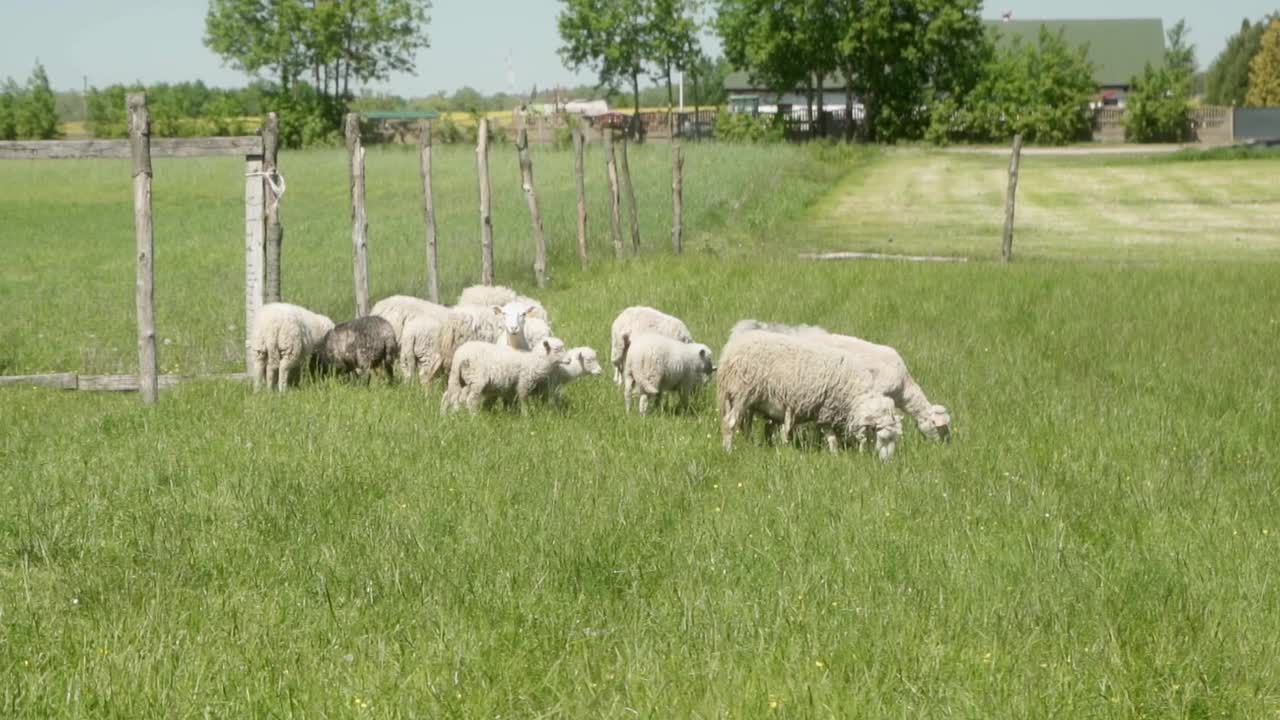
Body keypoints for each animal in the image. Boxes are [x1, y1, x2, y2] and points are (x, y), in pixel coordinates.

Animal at [721, 327, 901, 456]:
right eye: (884, 437)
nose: (887, 463)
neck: (853, 395)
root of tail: (729, 351)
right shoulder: (827, 408)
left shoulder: (825, 410)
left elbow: (831, 438)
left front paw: (835, 456)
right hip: (741, 394)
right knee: (729, 423)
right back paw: (729, 451)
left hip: (747, 402)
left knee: (745, 427)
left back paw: (750, 446)